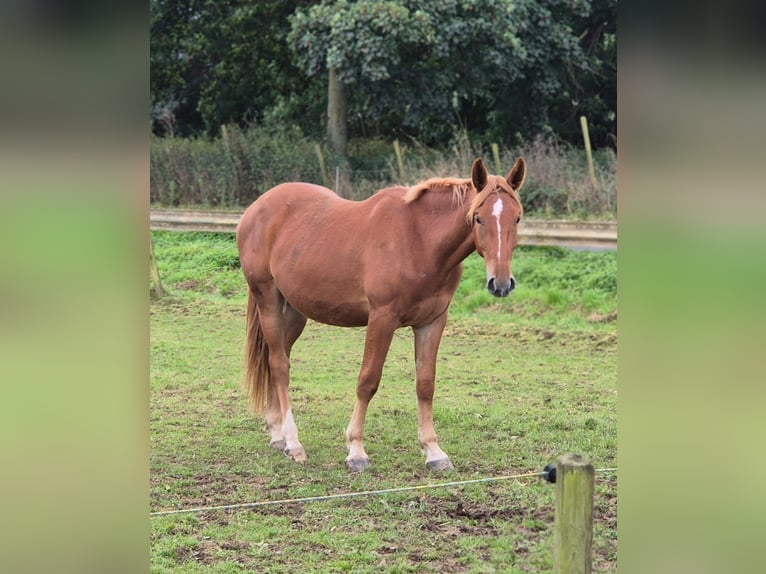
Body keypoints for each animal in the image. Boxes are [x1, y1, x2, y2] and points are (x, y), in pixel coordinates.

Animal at [238, 158, 528, 472]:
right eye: (478, 218)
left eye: (517, 218)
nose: (501, 284)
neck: (419, 240)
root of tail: (257, 208)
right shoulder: (382, 319)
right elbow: (368, 381)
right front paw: (356, 451)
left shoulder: (432, 322)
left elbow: (425, 384)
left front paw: (434, 451)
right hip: (268, 299)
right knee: (279, 365)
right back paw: (293, 442)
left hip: (293, 311)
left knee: (275, 359)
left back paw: (277, 434)